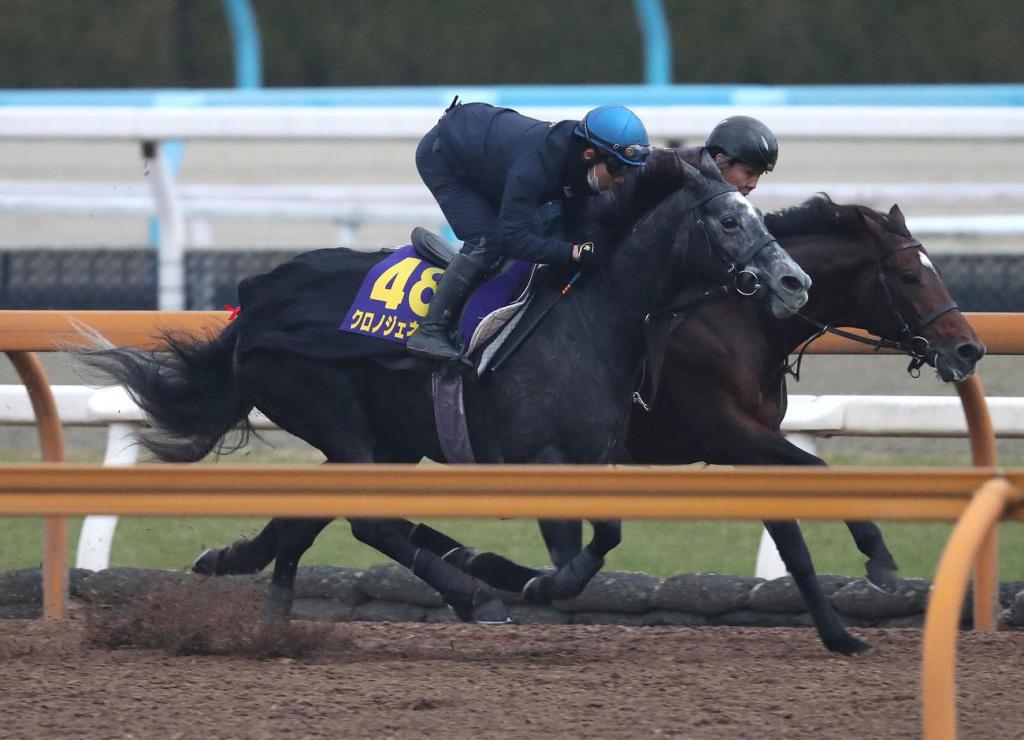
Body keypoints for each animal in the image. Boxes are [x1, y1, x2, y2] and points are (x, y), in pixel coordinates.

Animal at [75, 150, 812, 625]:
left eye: (759, 213)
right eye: (728, 221)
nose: (793, 281)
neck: (592, 311)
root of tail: (255, 301)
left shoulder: (595, 456)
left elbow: (605, 536)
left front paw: (521, 574)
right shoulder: (540, 458)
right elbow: (578, 556)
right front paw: (526, 581)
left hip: (384, 434)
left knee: (326, 509)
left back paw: (251, 573)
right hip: (330, 406)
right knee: (370, 519)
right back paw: (473, 592)